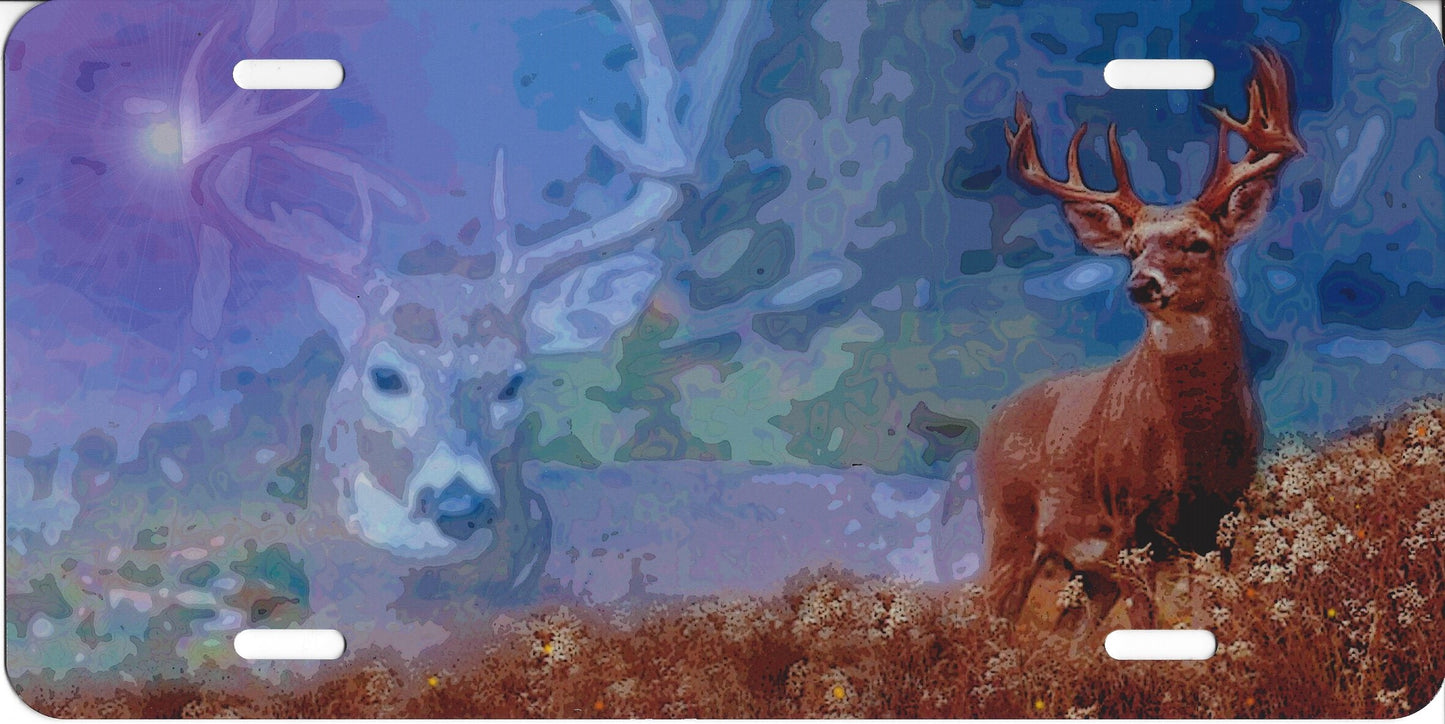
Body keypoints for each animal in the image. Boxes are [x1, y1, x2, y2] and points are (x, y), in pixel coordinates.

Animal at [975, 47, 1304, 630]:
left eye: (1198, 242)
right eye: (1131, 249)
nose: (1140, 284)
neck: (1193, 453)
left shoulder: (1223, 517)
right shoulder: (1128, 520)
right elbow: (1147, 623)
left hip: (1086, 573)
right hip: (1007, 528)